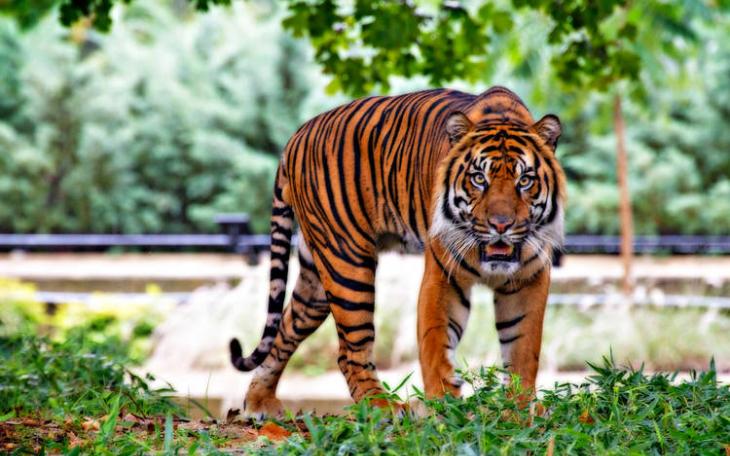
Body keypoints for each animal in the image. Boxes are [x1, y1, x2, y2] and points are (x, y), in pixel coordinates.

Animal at [229, 86, 566, 417]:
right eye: (479, 179)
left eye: (525, 180)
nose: (501, 225)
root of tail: (296, 135)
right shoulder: (443, 276)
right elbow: (436, 343)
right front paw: (444, 408)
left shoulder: (529, 279)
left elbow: (523, 349)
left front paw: (518, 409)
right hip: (347, 263)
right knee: (349, 351)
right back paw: (382, 406)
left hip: (316, 279)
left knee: (285, 329)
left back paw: (259, 403)